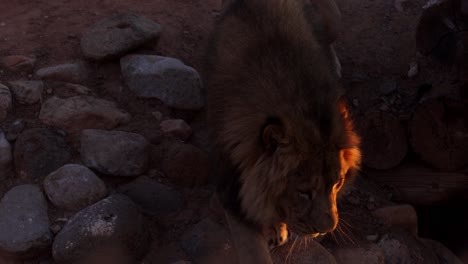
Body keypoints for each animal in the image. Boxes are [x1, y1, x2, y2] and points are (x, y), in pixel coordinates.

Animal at [203, 0, 360, 262]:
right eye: (304, 192)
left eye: (337, 184)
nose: (327, 229)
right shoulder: (233, 191)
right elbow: (254, 250)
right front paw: (275, 227)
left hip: (333, 21)